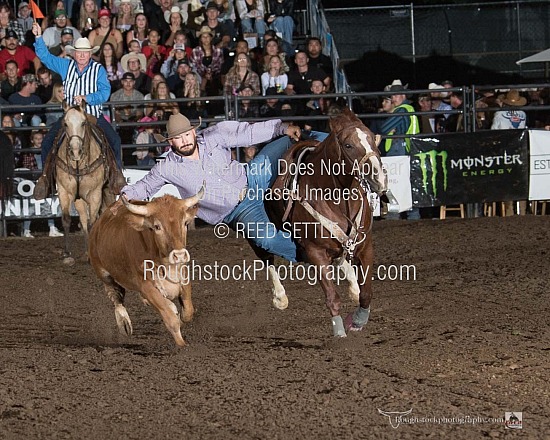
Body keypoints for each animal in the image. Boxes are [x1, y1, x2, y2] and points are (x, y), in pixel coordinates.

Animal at [56, 101, 115, 262]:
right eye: (65, 123)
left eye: (83, 123)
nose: (75, 151)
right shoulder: (63, 190)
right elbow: (67, 219)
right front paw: (66, 253)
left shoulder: (95, 194)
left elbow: (92, 223)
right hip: (79, 199)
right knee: (82, 219)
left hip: (107, 192)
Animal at [264, 108, 388, 338]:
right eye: (348, 145)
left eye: (373, 138)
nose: (379, 179)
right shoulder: (316, 252)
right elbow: (332, 296)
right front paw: (339, 332)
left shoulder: (366, 246)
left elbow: (366, 292)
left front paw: (358, 320)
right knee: (266, 257)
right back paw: (280, 297)